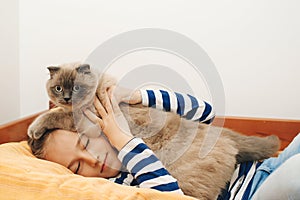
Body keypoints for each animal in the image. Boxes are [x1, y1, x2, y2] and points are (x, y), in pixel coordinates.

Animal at [27, 61, 280, 199]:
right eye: (58, 88)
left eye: (77, 87)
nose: (67, 98)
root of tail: (226, 137)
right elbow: (55, 112)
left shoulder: (86, 120)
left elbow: (52, 115)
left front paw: (33, 129)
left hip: (188, 178)